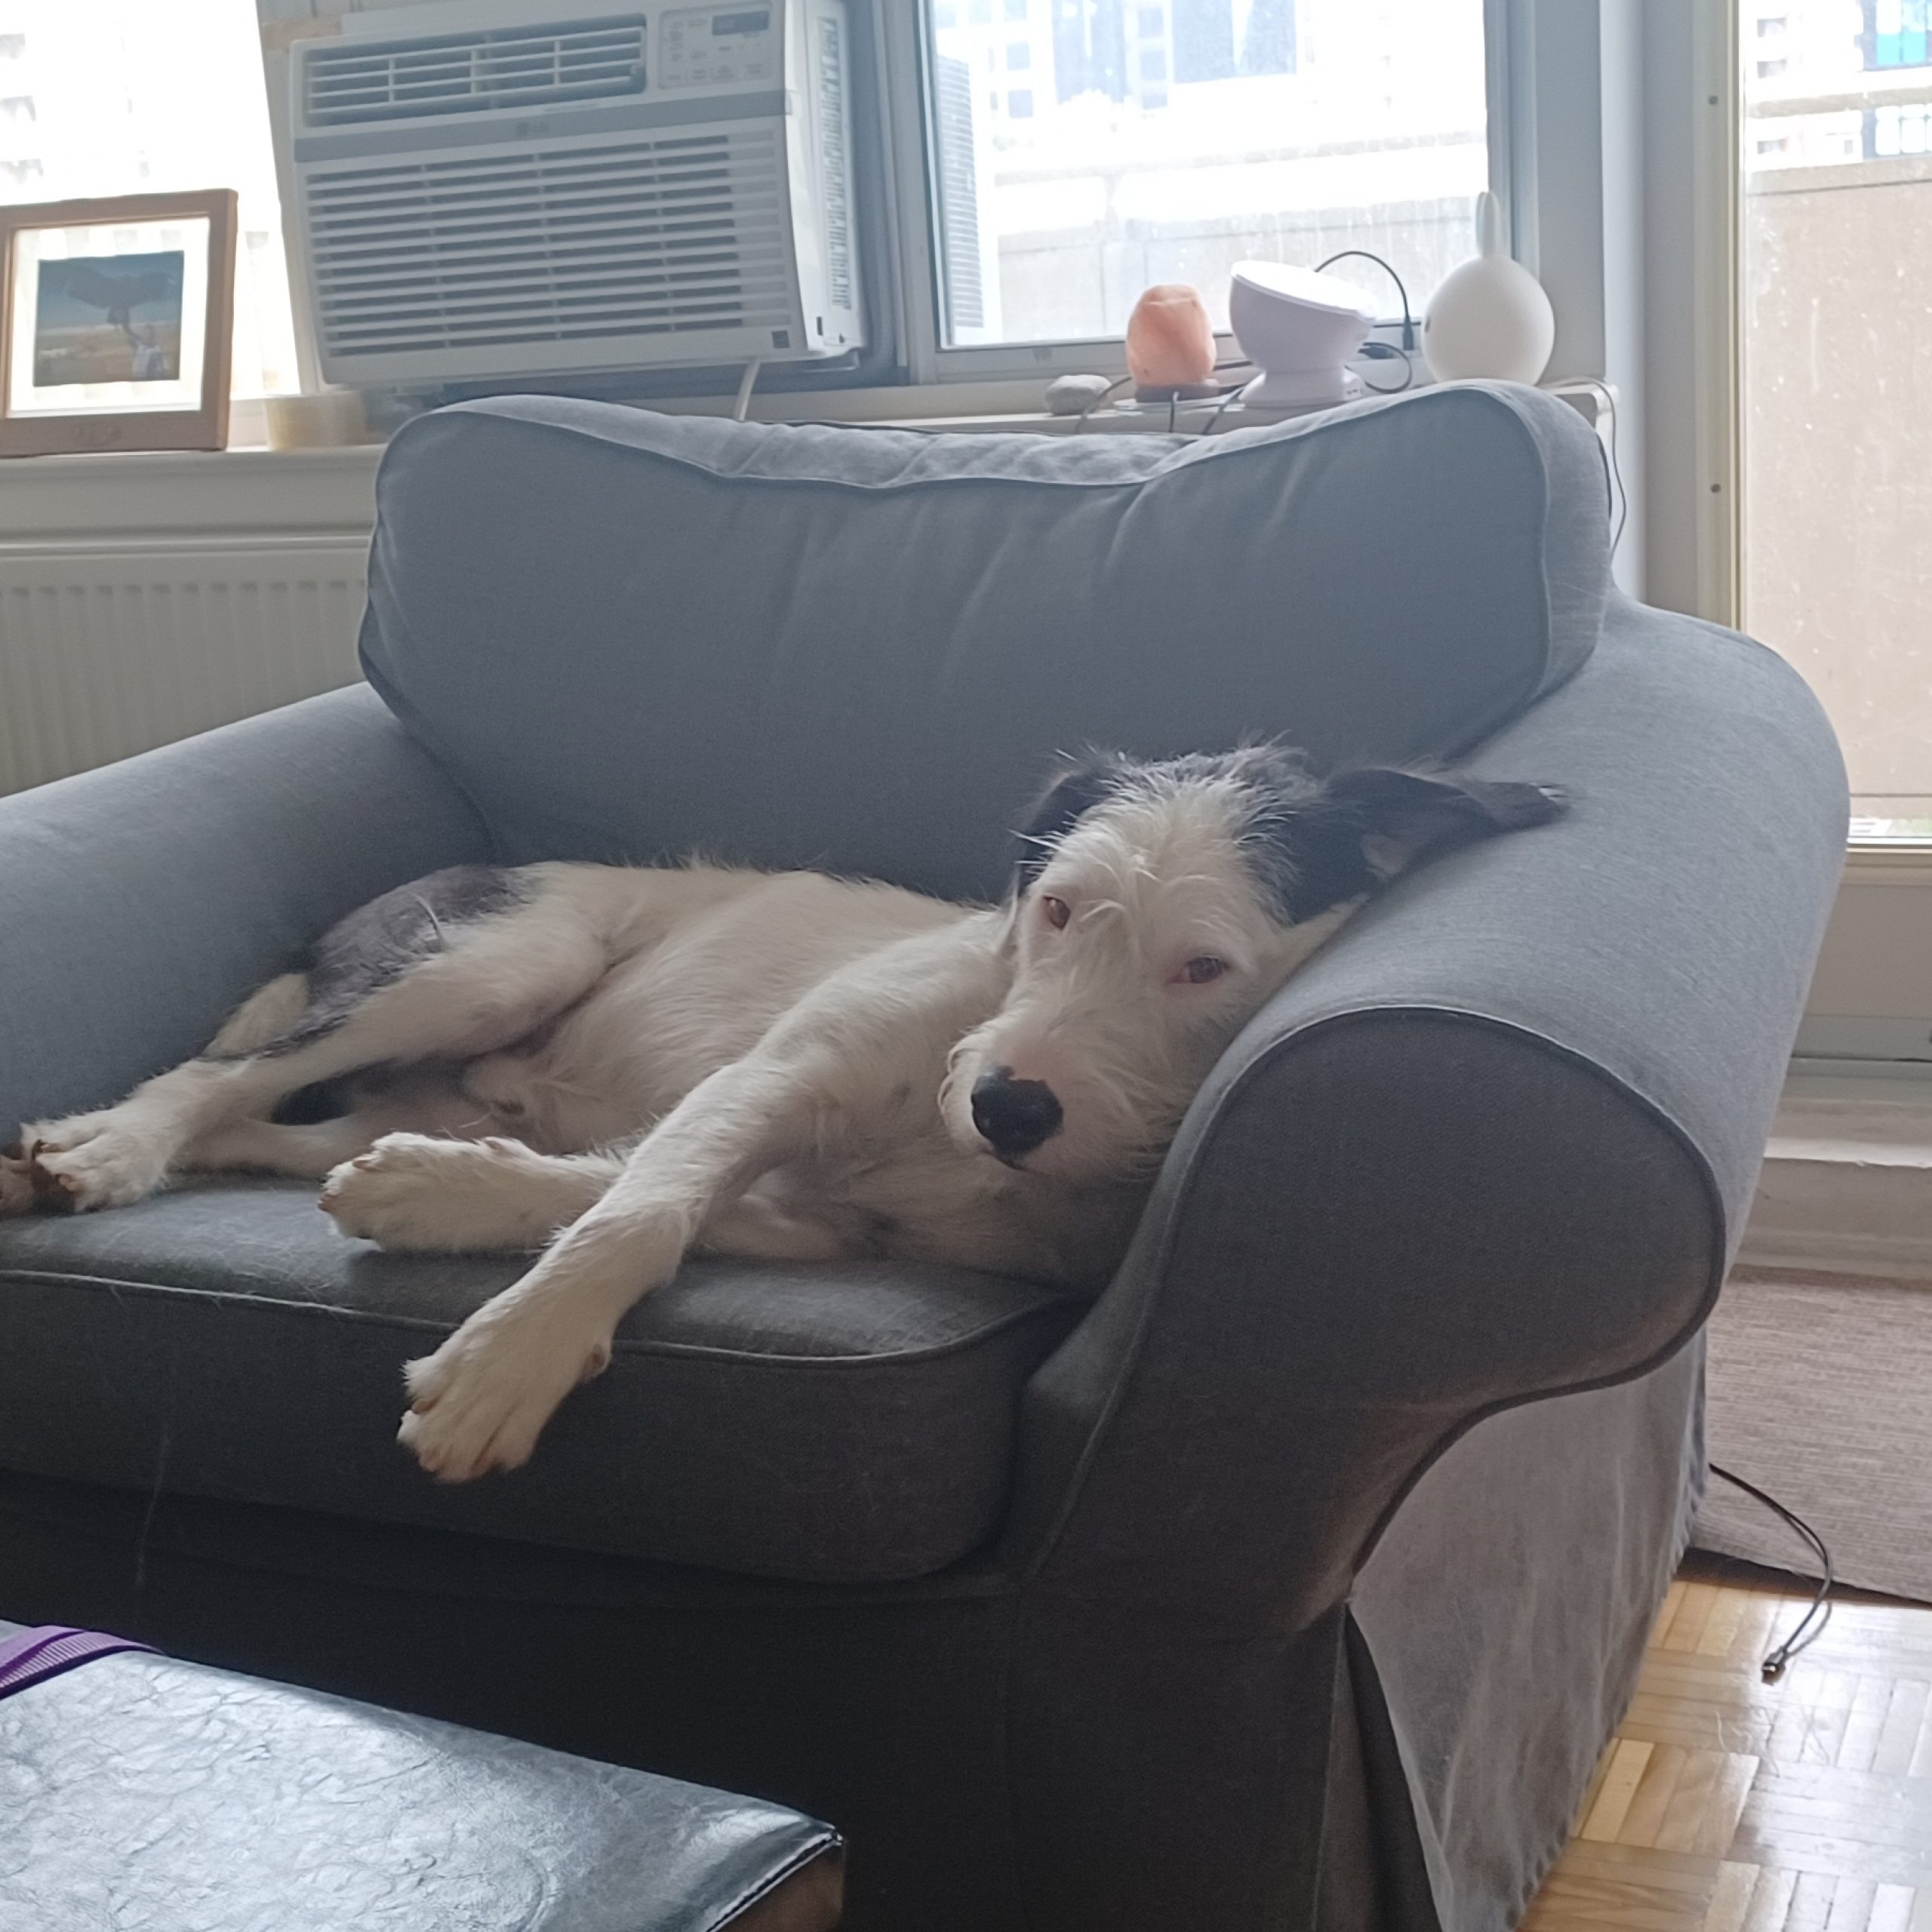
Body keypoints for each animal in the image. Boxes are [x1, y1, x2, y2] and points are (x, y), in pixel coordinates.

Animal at [1, 747, 1562, 1483]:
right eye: (1058, 908)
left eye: (1204, 968)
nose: (1006, 1101)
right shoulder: (777, 1076)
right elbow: (637, 1213)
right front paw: (511, 1361)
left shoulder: (836, 1229)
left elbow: (612, 1189)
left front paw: (438, 1194)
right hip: (497, 963)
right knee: (213, 1078)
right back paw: (104, 1145)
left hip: (399, 1068)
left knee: (275, 1126)